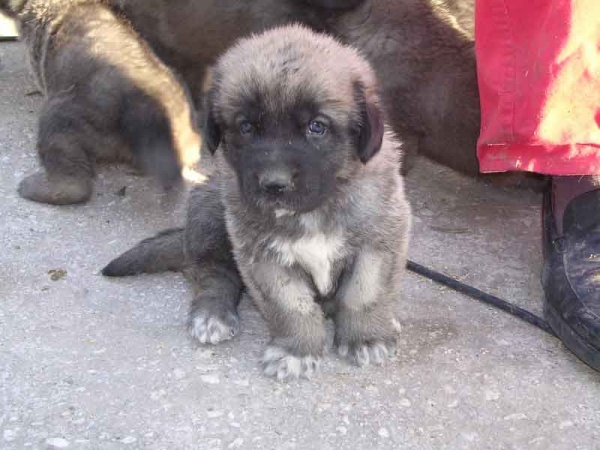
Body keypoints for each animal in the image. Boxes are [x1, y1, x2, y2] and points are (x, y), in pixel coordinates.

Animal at [104, 24, 412, 382]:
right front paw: (297, 349)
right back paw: (212, 314)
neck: (313, 212)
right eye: (246, 126)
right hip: (209, 211)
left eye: (317, 127)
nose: (274, 184)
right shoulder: (261, 253)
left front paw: (365, 336)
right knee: (214, 275)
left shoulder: (379, 241)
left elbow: (364, 294)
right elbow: (291, 306)